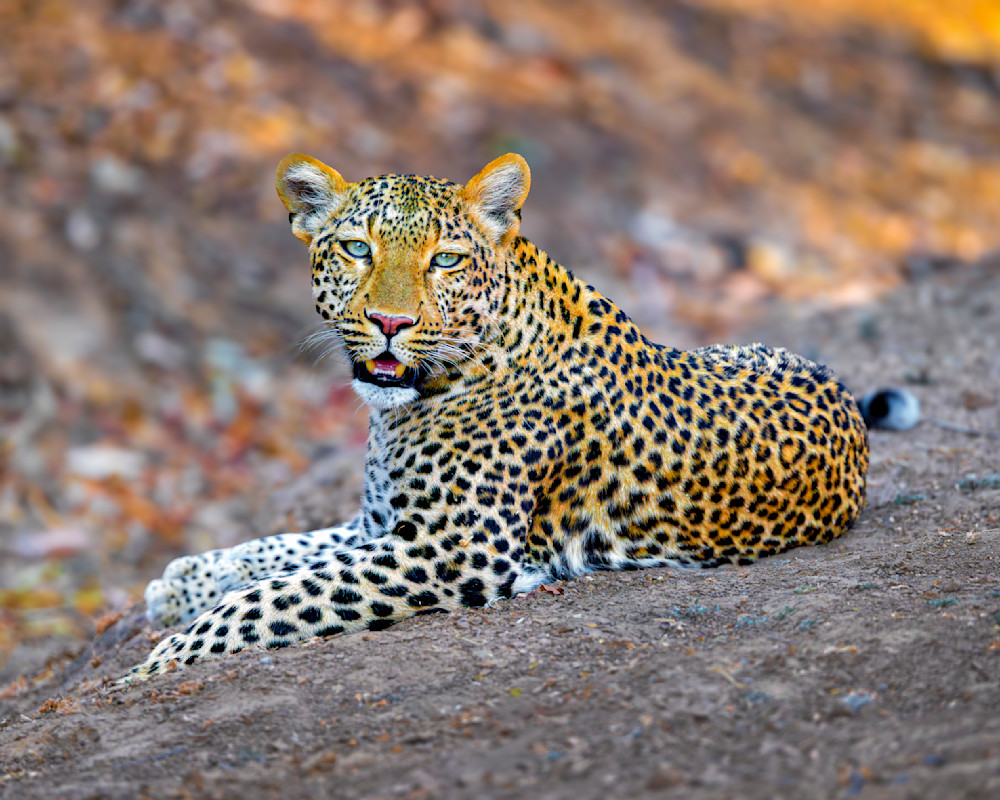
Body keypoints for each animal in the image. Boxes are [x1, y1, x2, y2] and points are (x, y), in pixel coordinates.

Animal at [126, 152, 868, 680]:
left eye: (446, 260)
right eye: (357, 249)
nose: (389, 323)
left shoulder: (452, 550)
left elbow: (273, 596)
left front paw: (159, 661)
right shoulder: (381, 524)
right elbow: (280, 551)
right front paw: (182, 582)